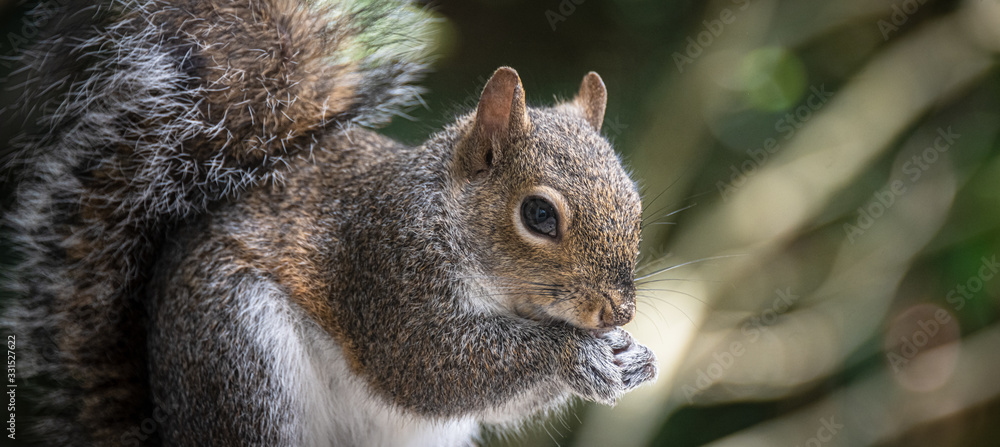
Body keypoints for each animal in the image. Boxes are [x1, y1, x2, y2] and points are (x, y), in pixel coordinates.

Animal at [2, 0, 657, 446]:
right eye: (538, 215)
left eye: (635, 203)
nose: (617, 312)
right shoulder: (385, 268)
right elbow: (432, 367)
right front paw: (576, 355)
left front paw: (633, 358)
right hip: (238, 357)